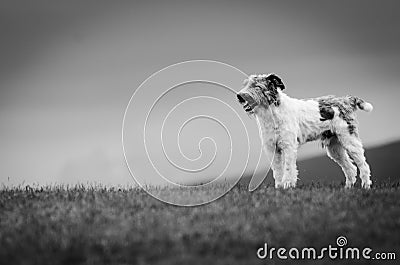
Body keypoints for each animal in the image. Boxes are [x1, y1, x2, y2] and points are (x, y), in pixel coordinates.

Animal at [236, 73, 374, 188]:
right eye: (246, 84)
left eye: (257, 86)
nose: (239, 96)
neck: (272, 115)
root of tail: (346, 100)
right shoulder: (271, 148)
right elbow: (277, 170)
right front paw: (279, 187)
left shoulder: (288, 146)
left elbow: (288, 168)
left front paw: (287, 185)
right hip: (335, 148)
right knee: (350, 168)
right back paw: (348, 188)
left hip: (350, 141)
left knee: (363, 165)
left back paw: (366, 187)